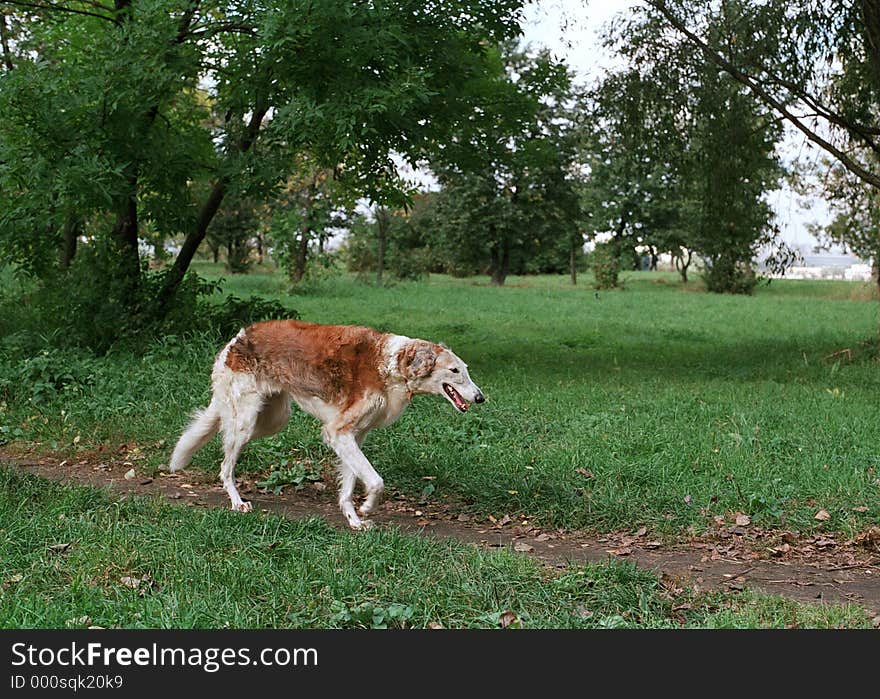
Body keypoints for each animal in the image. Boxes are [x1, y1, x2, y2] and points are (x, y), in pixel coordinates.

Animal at [168, 320, 484, 528]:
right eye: (455, 371)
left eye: (466, 370)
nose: (480, 398)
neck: (392, 364)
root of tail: (236, 339)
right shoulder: (338, 432)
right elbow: (376, 481)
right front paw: (367, 507)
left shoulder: (354, 436)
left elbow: (349, 485)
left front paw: (355, 521)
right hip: (246, 420)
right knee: (225, 464)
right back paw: (236, 502)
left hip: (272, 419)